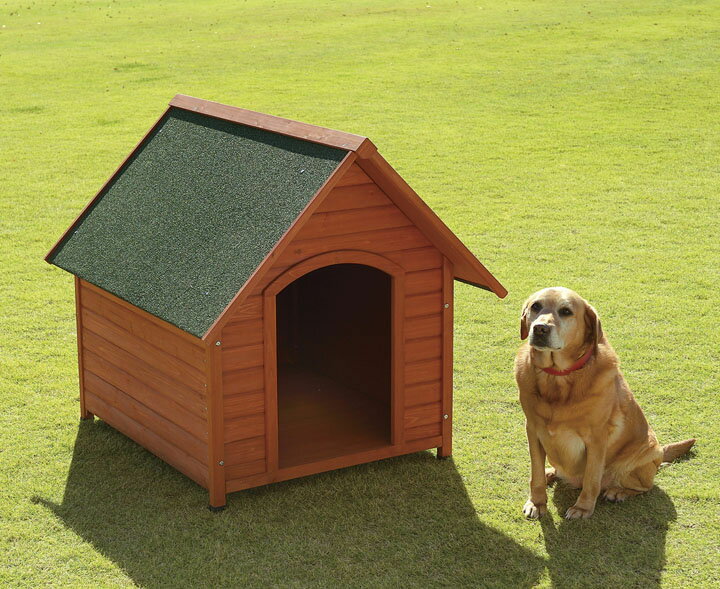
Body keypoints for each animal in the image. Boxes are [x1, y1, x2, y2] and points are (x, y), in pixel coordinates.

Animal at [512, 288, 692, 516]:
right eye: (535, 306)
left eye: (566, 311)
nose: (540, 328)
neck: (558, 377)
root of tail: (660, 451)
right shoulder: (533, 430)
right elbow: (535, 474)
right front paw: (537, 503)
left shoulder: (596, 439)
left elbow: (591, 479)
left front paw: (582, 508)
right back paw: (550, 472)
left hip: (643, 454)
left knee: (643, 486)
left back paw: (618, 491)